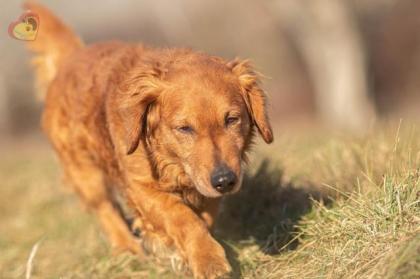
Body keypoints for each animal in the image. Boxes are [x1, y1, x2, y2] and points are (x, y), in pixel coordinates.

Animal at [25, 1, 272, 278]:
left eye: (232, 119)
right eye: (184, 128)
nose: (224, 181)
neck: (170, 160)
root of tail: (72, 57)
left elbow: (204, 215)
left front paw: (189, 253)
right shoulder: (141, 186)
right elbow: (182, 217)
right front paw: (207, 259)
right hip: (87, 175)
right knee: (106, 209)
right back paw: (129, 251)